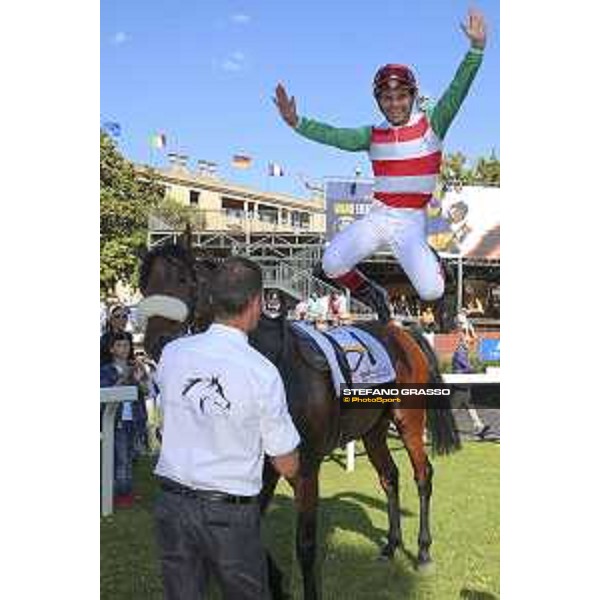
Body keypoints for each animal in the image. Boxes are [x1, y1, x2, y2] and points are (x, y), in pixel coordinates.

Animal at [139, 239, 460, 600]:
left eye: (183, 280)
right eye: (144, 285)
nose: (155, 342)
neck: (275, 364)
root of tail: (398, 332)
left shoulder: (305, 468)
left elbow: (305, 544)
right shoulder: (263, 469)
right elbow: (249, 528)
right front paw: (277, 582)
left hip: (408, 418)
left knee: (423, 474)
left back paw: (423, 551)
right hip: (373, 429)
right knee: (389, 476)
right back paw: (391, 545)